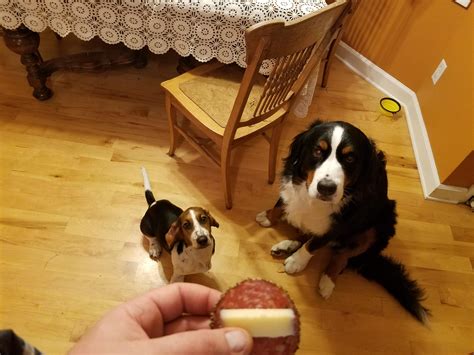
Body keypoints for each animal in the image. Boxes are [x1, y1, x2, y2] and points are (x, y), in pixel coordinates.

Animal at [258, 120, 432, 326]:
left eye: (350, 158)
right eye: (318, 151)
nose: (326, 188)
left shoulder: (339, 225)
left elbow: (313, 245)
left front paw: (297, 261)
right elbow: (281, 203)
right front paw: (268, 216)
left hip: (379, 225)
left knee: (342, 256)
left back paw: (327, 280)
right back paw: (287, 245)